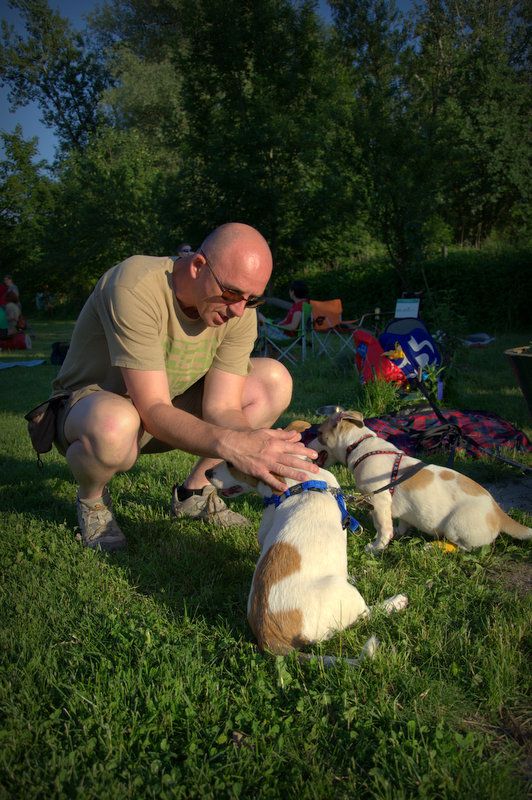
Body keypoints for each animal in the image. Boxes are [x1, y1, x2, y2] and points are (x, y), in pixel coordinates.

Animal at [205, 438, 408, 656]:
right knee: (368, 614)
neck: (299, 484)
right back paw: (395, 602)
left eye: (231, 462)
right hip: (346, 594)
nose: (207, 473)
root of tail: (270, 640)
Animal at [318, 410, 528, 552]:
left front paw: (376, 547)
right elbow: (401, 522)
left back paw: (433, 547)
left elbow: (383, 528)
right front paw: (399, 532)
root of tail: (499, 513)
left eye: (318, 434)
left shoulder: (379, 501)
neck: (359, 445)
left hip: (454, 527)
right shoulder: (399, 508)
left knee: (463, 547)